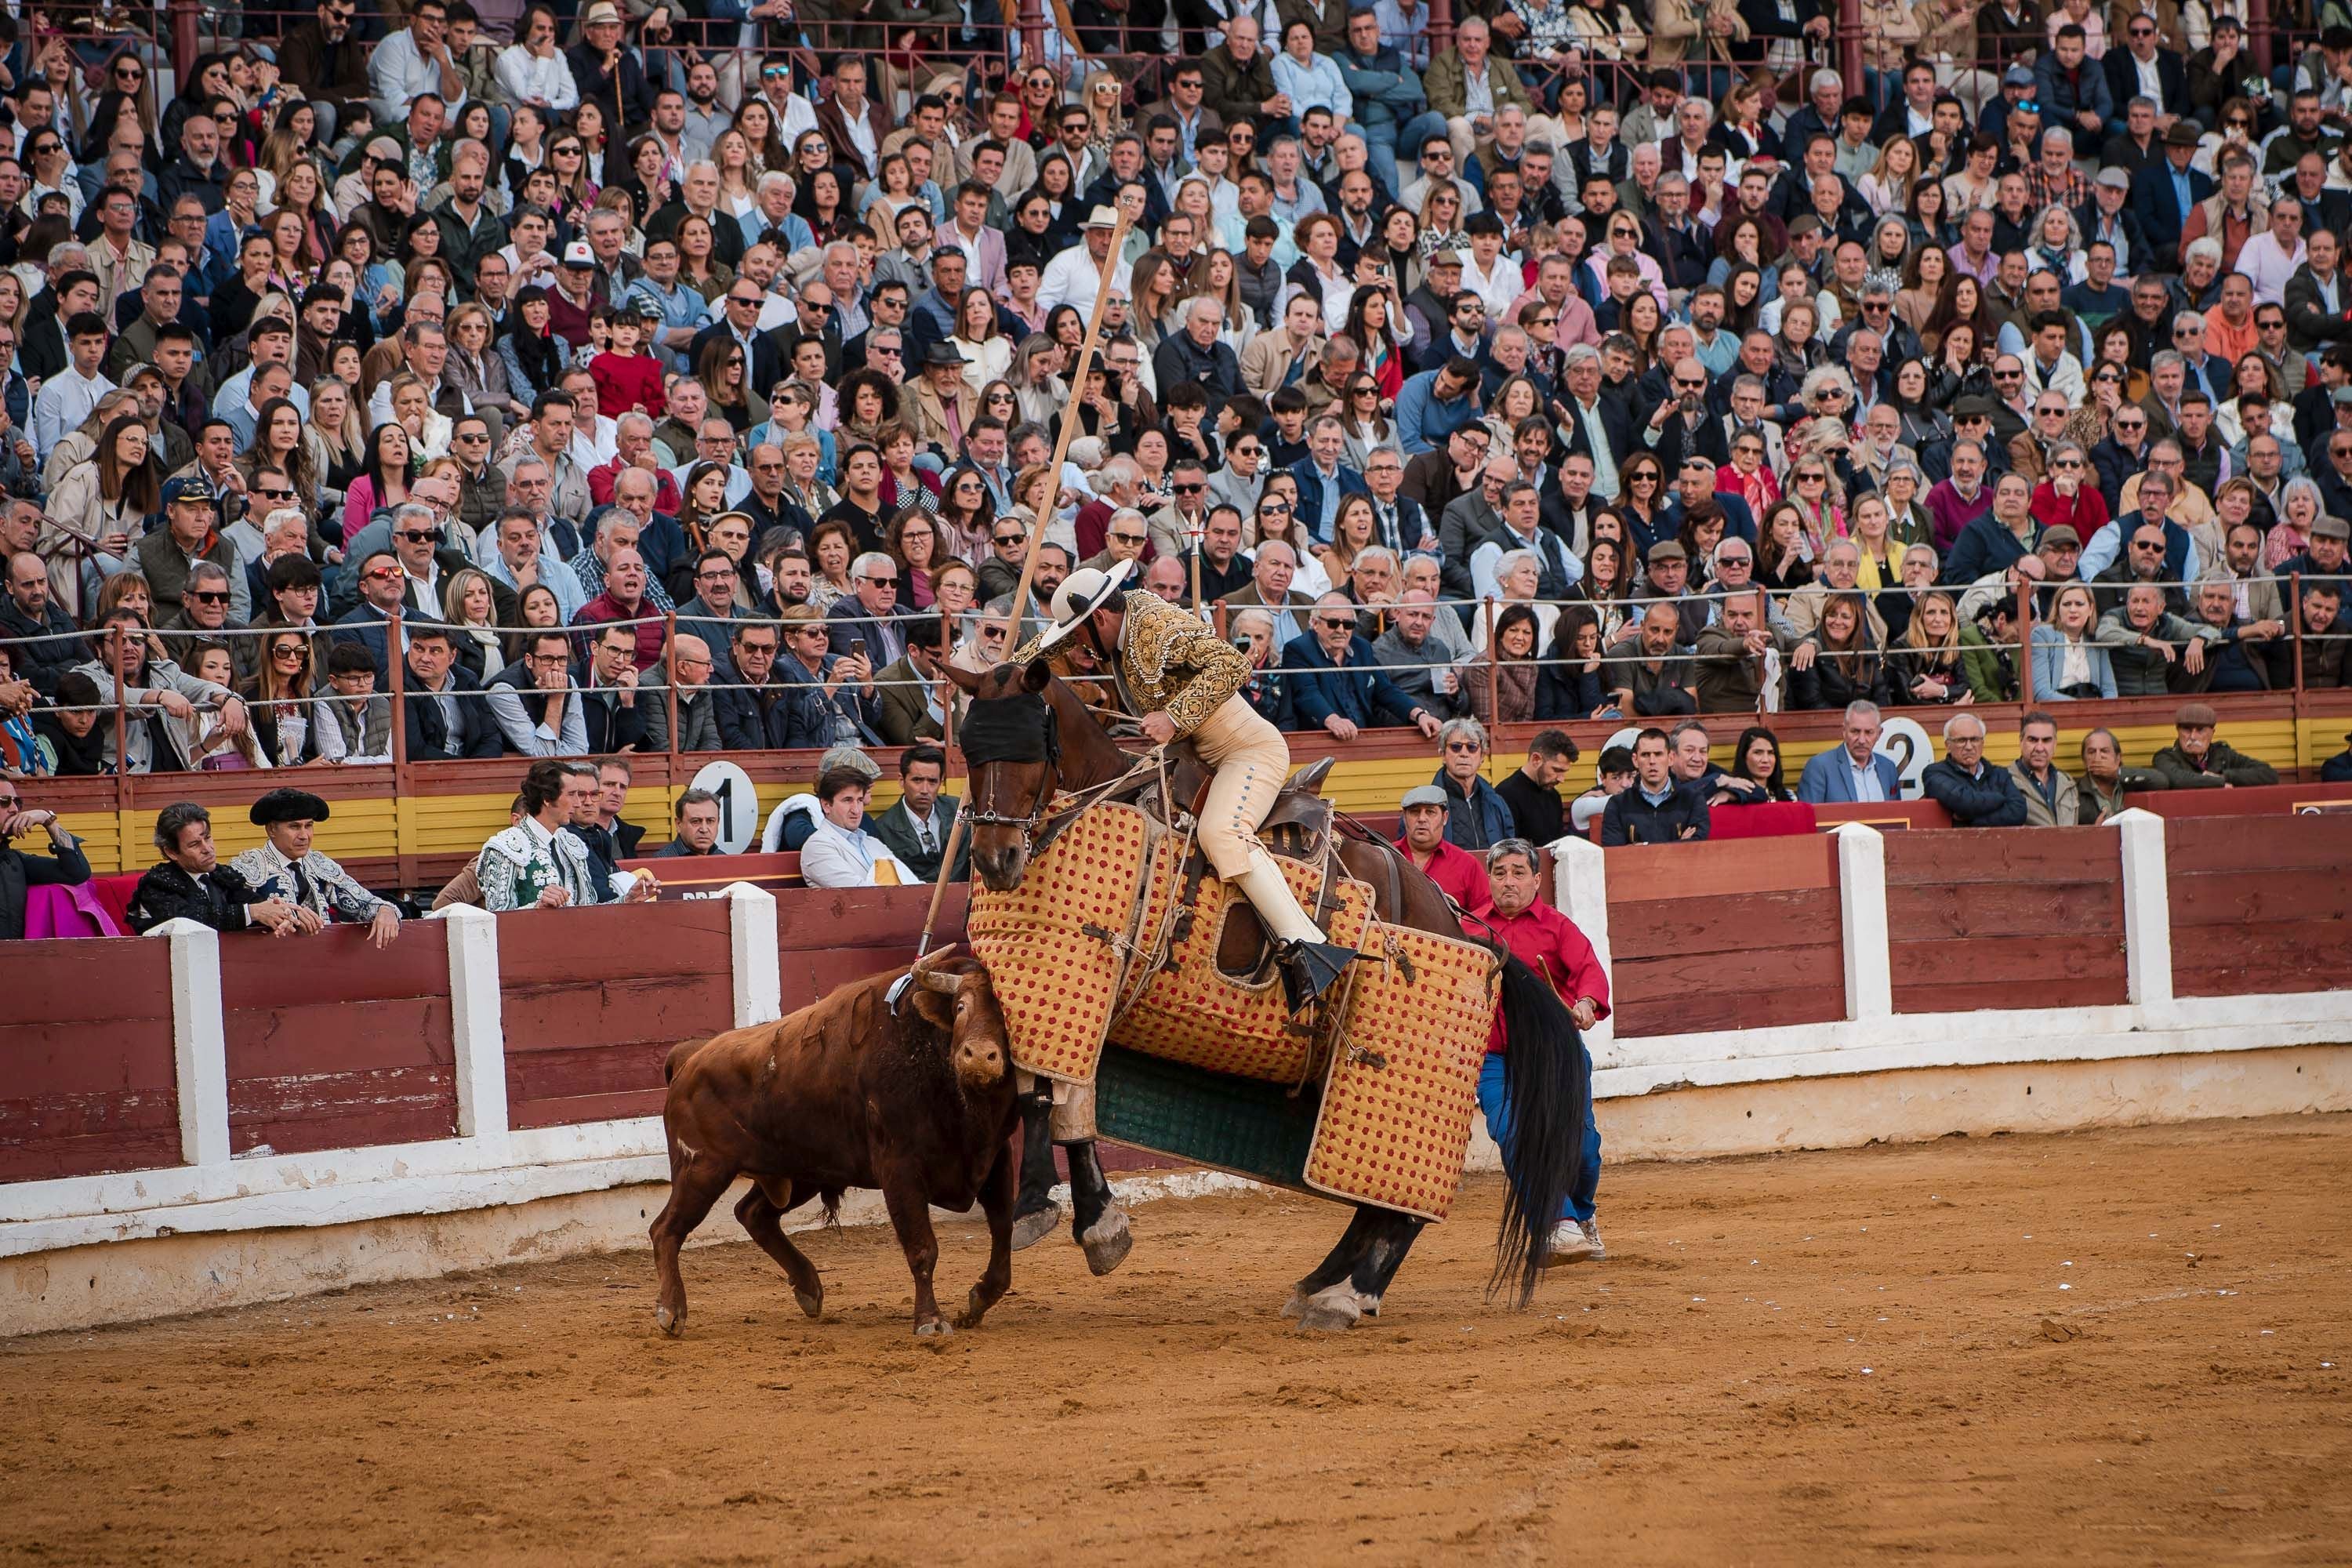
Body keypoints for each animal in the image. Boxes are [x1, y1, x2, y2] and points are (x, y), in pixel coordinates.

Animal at [649, 949, 1016, 1345]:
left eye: (1009, 1019)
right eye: (961, 1006)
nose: (978, 1056)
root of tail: (689, 1057)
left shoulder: (995, 1156)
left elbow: (1004, 1229)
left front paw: (979, 1300)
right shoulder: (899, 1167)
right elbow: (922, 1247)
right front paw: (930, 1320)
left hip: (801, 1170)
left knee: (752, 1213)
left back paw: (809, 1288)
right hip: (702, 1169)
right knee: (666, 1229)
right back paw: (671, 1311)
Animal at [931, 658, 1581, 1335]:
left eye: (1032, 748)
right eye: (970, 753)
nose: (996, 859)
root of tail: (1461, 923)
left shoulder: (1080, 984)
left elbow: (1049, 1096)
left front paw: (1069, 1215)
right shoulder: (1051, 993)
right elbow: (1050, 1096)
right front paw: (1073, 1214)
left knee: (1403, 1202)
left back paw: (1345, 1294)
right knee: (1367, 1203)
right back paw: (1325, 1285)